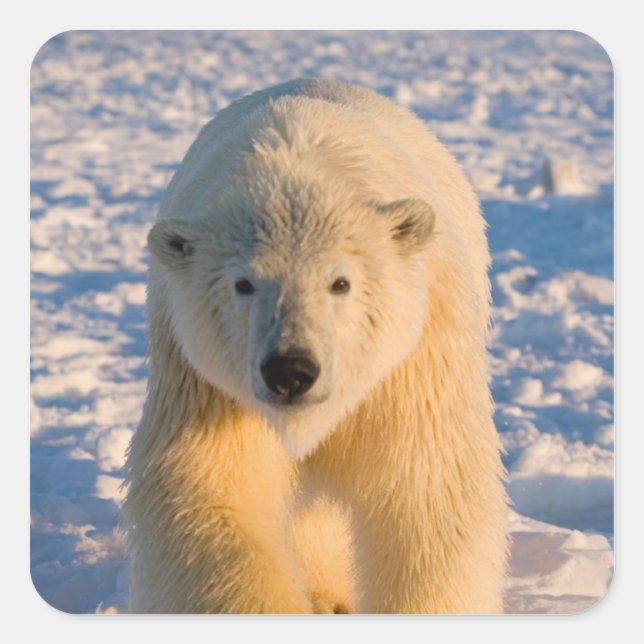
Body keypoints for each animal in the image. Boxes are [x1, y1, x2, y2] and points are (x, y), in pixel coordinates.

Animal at [123, 78, 508, 614]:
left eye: (340, 282)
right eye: (244, 284)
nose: (290, 370)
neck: (297, 167)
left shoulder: (412, 365)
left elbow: (425, 492)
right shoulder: (202, 379)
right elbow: (210, 491)